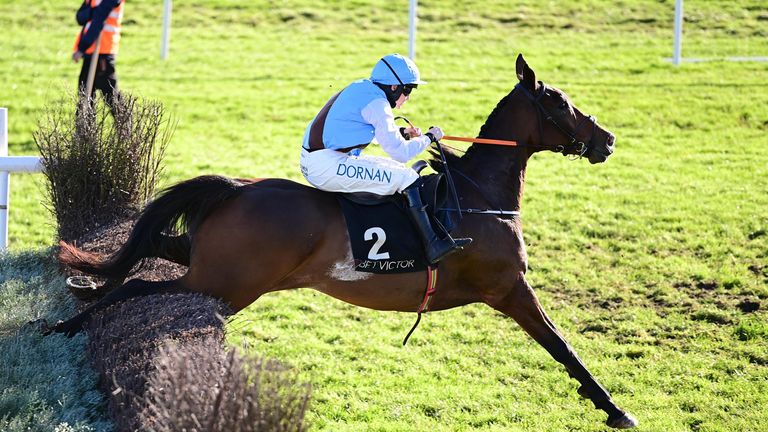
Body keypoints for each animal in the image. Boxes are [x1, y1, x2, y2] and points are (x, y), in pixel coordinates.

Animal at [48, 54, 640, 428]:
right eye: (559, 102)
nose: (607, 139)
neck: (477, 196)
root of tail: (238, 189)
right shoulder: (509, 289)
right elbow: (562, 346)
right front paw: (614, 408)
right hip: (227, 284)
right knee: (139, 287)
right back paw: (69, 323)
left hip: (214, 268)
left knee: (148, 258)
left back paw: (80, 295)